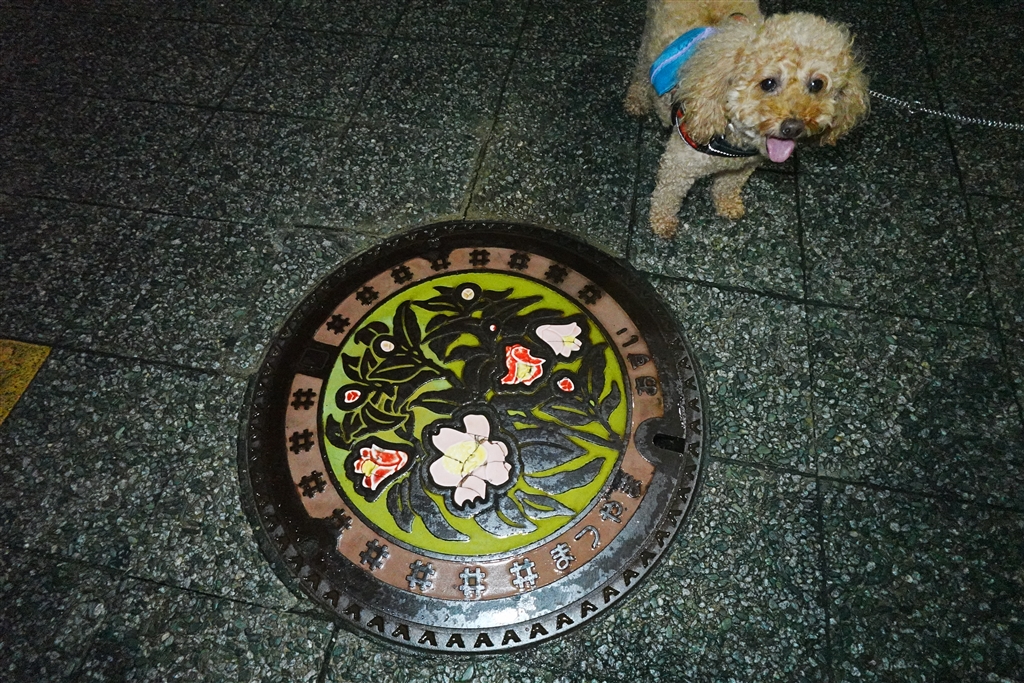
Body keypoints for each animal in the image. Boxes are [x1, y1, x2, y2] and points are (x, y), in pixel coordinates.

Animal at [625, 0, 869, 238]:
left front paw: (727, 205)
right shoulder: (678, 166)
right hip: (649, 40)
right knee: (641, 69)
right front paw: (663, 222)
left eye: (817, 84)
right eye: (768, 83)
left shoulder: (743, 167)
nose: (793, 127)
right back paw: (637, 99)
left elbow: (727, 186)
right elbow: (667, 197)